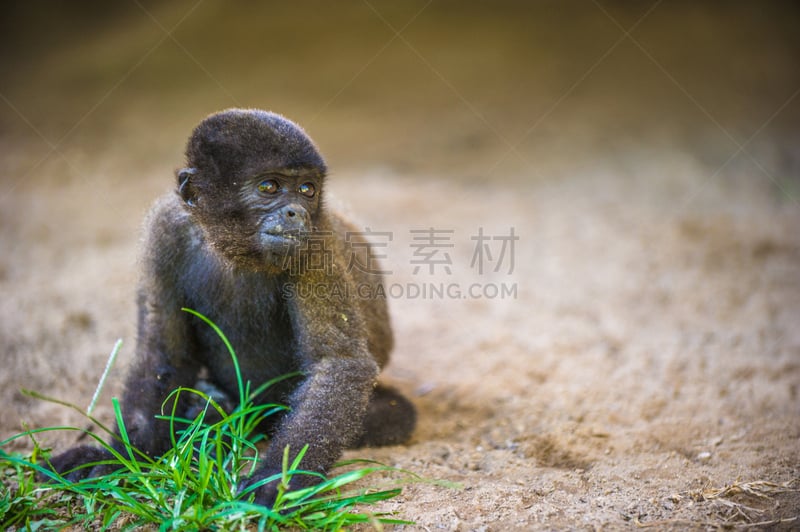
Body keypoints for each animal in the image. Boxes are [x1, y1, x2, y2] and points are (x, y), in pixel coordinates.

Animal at [44, 108, 416, 508]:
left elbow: (338, 363)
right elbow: (162, 356)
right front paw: (118, 457)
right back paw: (211, 411)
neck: (232, 247)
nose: (297, 213)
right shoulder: (165, 228)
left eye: (307, 189)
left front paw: (274, 485)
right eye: (268, 187)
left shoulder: (316, 242)